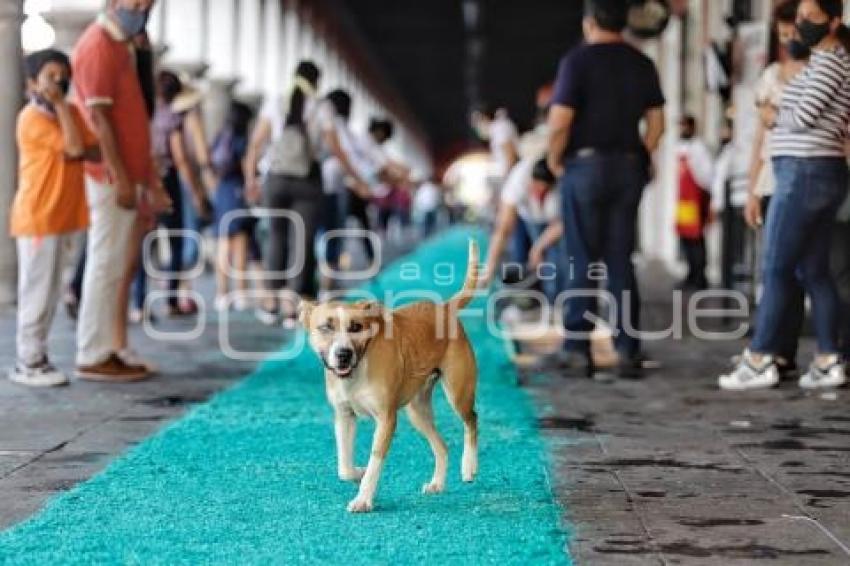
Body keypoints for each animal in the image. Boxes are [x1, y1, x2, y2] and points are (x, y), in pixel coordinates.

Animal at [298, 240, 476, 516]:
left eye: (356, 327)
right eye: (325, 327)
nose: (343, 354)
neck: (358, 369)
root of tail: (445, 308)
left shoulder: (386, 419)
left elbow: (375, 462)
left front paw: (363, 499)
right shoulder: (344, 416)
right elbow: (344, 468)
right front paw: (357, 473)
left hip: (458, 392)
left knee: (472, 421)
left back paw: (469, 466)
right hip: (417, 411)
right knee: (442, 446)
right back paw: (437, 483)